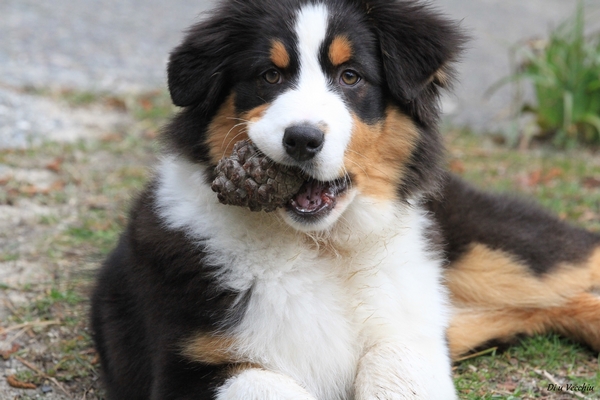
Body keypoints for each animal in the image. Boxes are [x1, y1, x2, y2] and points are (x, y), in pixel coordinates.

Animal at [91, 0, 600, 398]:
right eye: (269, 75)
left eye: (351, 76)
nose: (301, 139)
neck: (324, 247)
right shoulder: (187, 365)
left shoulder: (407, 328)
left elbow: (395, 373)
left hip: (499, 252)